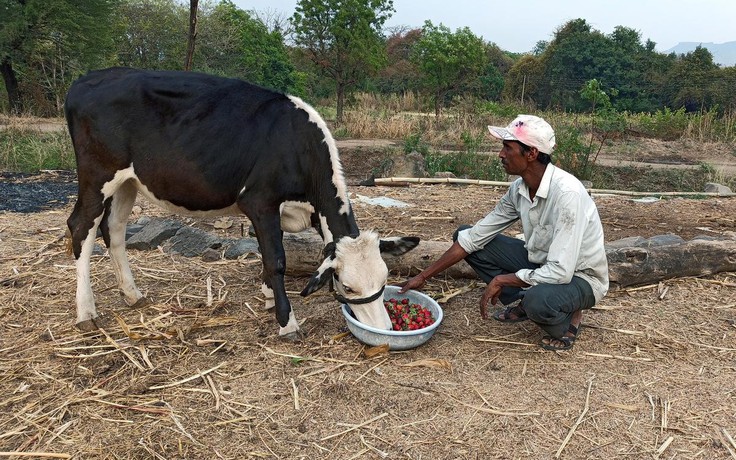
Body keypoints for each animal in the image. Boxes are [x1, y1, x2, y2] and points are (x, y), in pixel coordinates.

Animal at [63, 69, 420, 342]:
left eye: (385, 279)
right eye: (347, 285)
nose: (384, 328)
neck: (296, 145)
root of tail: (86, 79)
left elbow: (266, 252)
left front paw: (268, 296)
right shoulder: (260, 202)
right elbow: (276, 259)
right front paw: (287, 322)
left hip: (128, 181)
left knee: (114, 228)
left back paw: (132, 294)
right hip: (97, 174)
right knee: (81, 227)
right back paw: (86, 312)